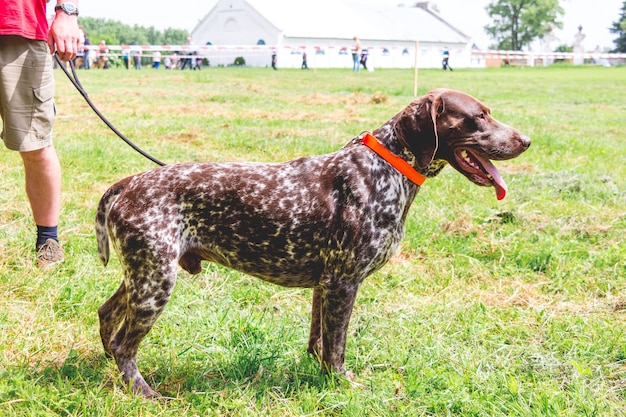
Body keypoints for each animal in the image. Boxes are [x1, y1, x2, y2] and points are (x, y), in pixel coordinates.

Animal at [95, 88, 528, 396]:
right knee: (124, 344)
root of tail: (128, 183)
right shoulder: (343, 283)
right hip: (155, 282)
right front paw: (344, 386)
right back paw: (144, 392)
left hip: (143, 276)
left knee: (106, 318)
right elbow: (336, 349)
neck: (386, 168)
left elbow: (318, 343)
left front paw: (322, 380)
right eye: (478, 117)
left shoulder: (325, 286)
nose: (526, 140)